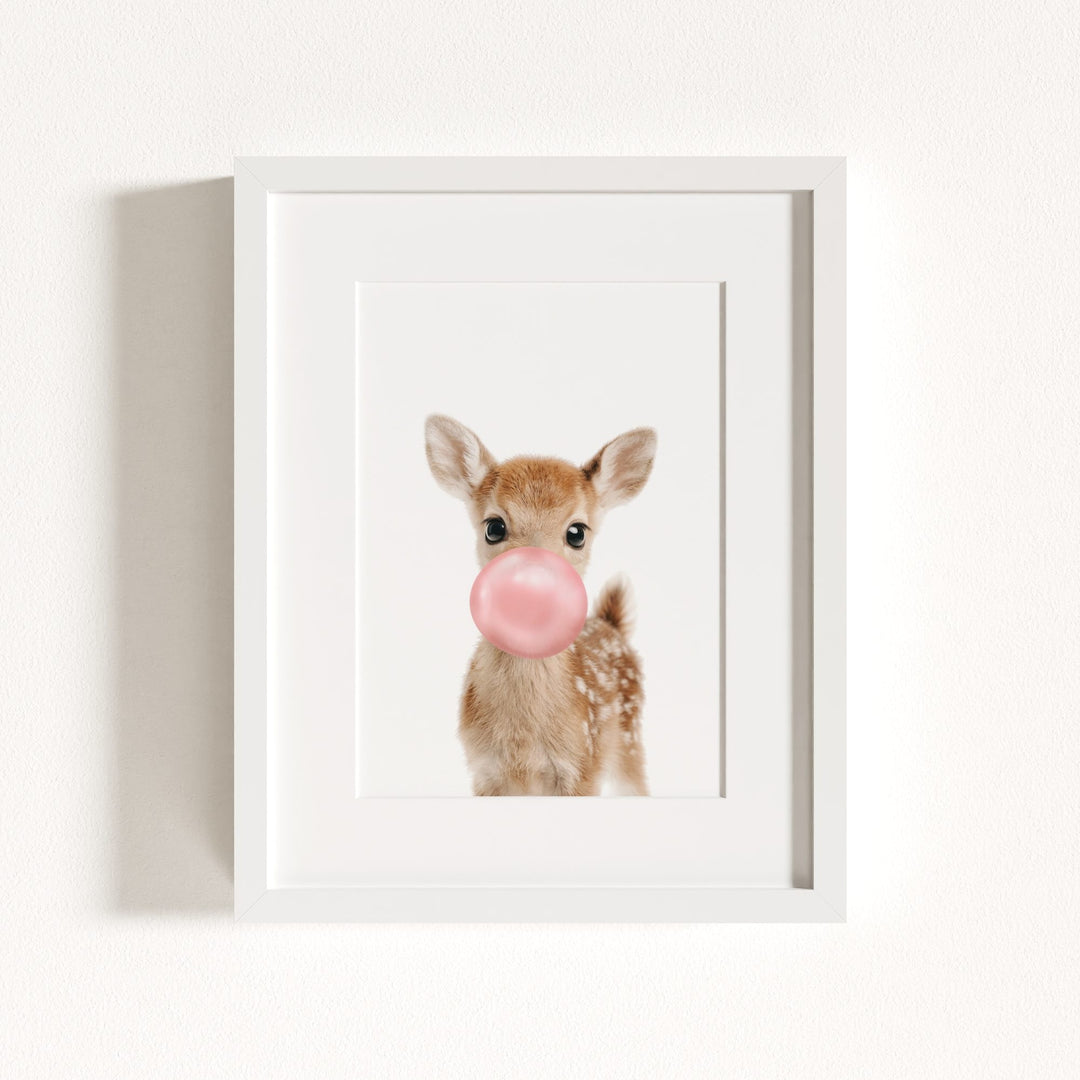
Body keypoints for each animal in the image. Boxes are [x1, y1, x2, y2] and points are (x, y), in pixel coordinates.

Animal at [424, 414, 657, 796]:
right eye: (494, 527)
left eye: (577, 532)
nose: (534, 581)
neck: (523, 743)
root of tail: (611, 623)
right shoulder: (484, 772)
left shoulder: (582, 768)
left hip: (629, 741)